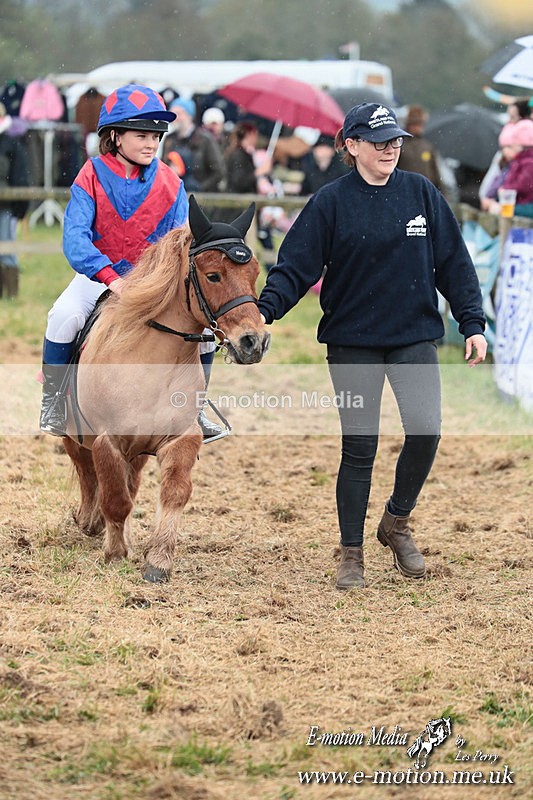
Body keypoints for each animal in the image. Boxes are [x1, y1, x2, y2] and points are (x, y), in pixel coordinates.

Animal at [61, 196, 270, 583]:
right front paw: (115, 552)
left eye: (253, 273)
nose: (254, 342)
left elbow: (173, 493)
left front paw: (158, 559)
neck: (149, 361)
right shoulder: (108, 440)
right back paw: (90, 520)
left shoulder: (181, 438)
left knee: (129, 482)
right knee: (87, 470)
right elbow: (114, 497)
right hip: (74, 434)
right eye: (213, 275)